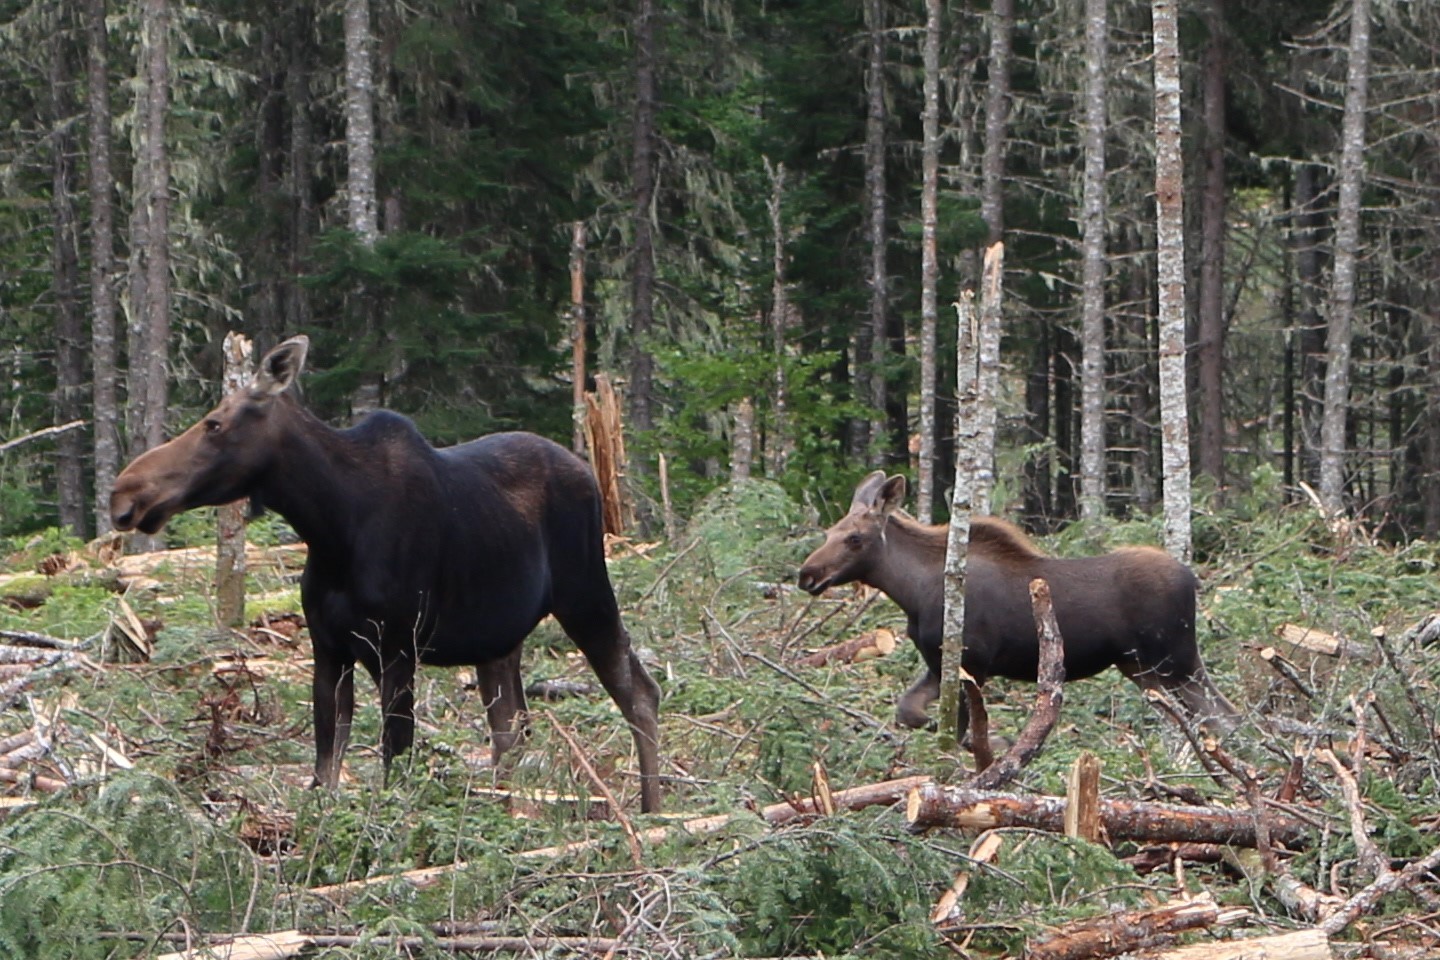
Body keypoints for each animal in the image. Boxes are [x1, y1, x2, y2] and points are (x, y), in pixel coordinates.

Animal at [112, 338, 662, 811]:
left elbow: (394, 764)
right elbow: (325, 773)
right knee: (512, 726)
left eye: (214, 424)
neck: (331, 528)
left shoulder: (397, 648)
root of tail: (589, 473)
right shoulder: (329, 648)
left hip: (586, 593)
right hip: (500, 637)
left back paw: (652, 812)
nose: (125, 490)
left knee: (640, 693)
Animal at [800, 472, 1238, 742]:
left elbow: (958, 730)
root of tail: (1193, 579)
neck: (910, 592)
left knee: (1224, 714)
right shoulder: (939, 663)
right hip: (1142, 667)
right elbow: (909, 711)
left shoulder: (971, 660)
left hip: (1174, 659)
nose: (807, 574)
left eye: (855, 538)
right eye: (829, 532)